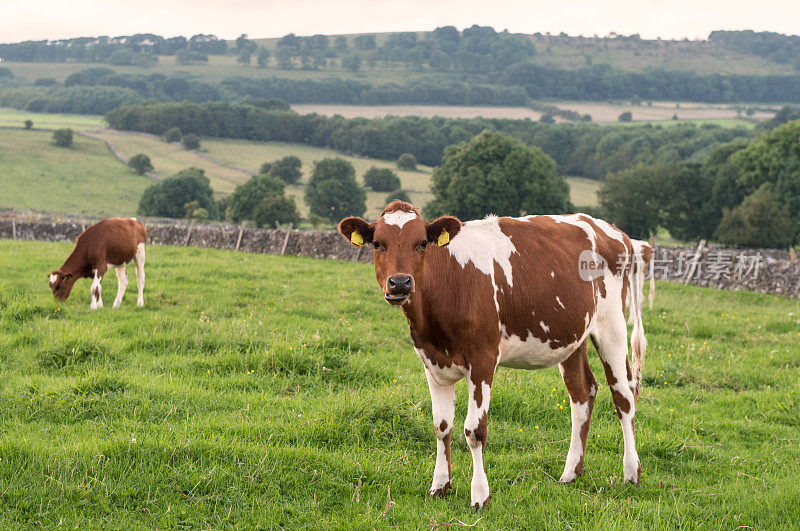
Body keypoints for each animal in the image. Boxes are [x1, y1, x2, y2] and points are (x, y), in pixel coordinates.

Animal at [340, 202, 648, 510]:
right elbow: (441, 426)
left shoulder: (483, 360)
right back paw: (571, 473)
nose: (400, 283)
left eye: (422, 243)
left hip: (611, 326)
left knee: (623, 395)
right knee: (582, 393)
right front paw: (439, 486)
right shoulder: (432, 363)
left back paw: (631, 473)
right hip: (572, 336)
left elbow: (475, 431)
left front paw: (480, 496)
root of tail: (613, 230)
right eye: (377, 244)